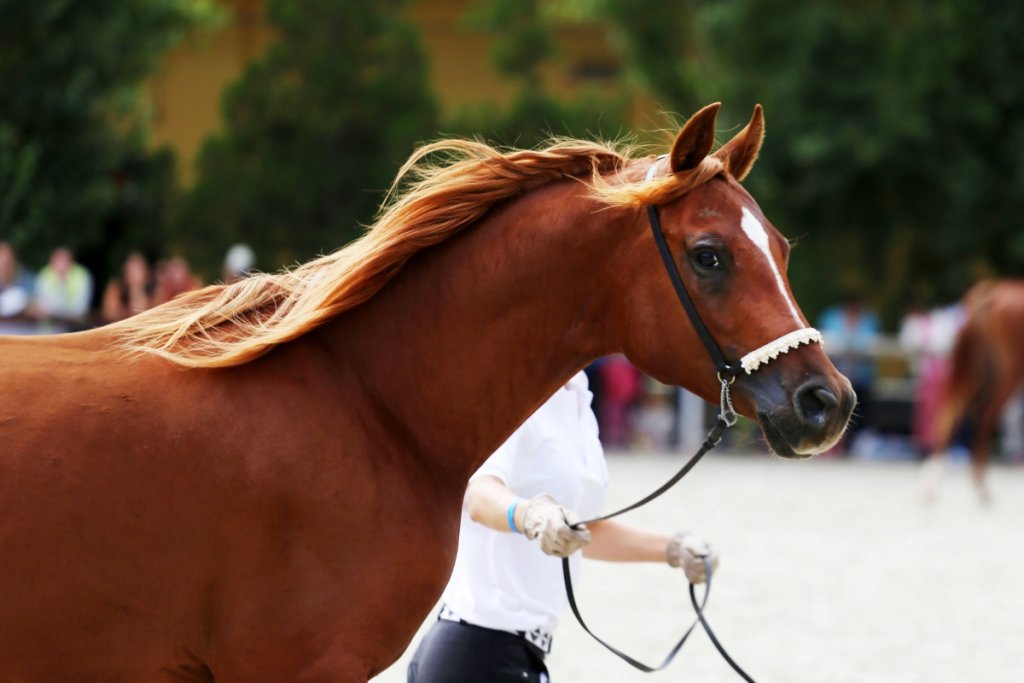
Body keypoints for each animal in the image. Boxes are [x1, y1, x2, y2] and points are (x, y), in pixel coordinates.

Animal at [925, 280, 1024, 503]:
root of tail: (992, 292)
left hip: (979, 370)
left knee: (951, 415)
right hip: (1009, 372)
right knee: (985, 415)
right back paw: (979, 487)